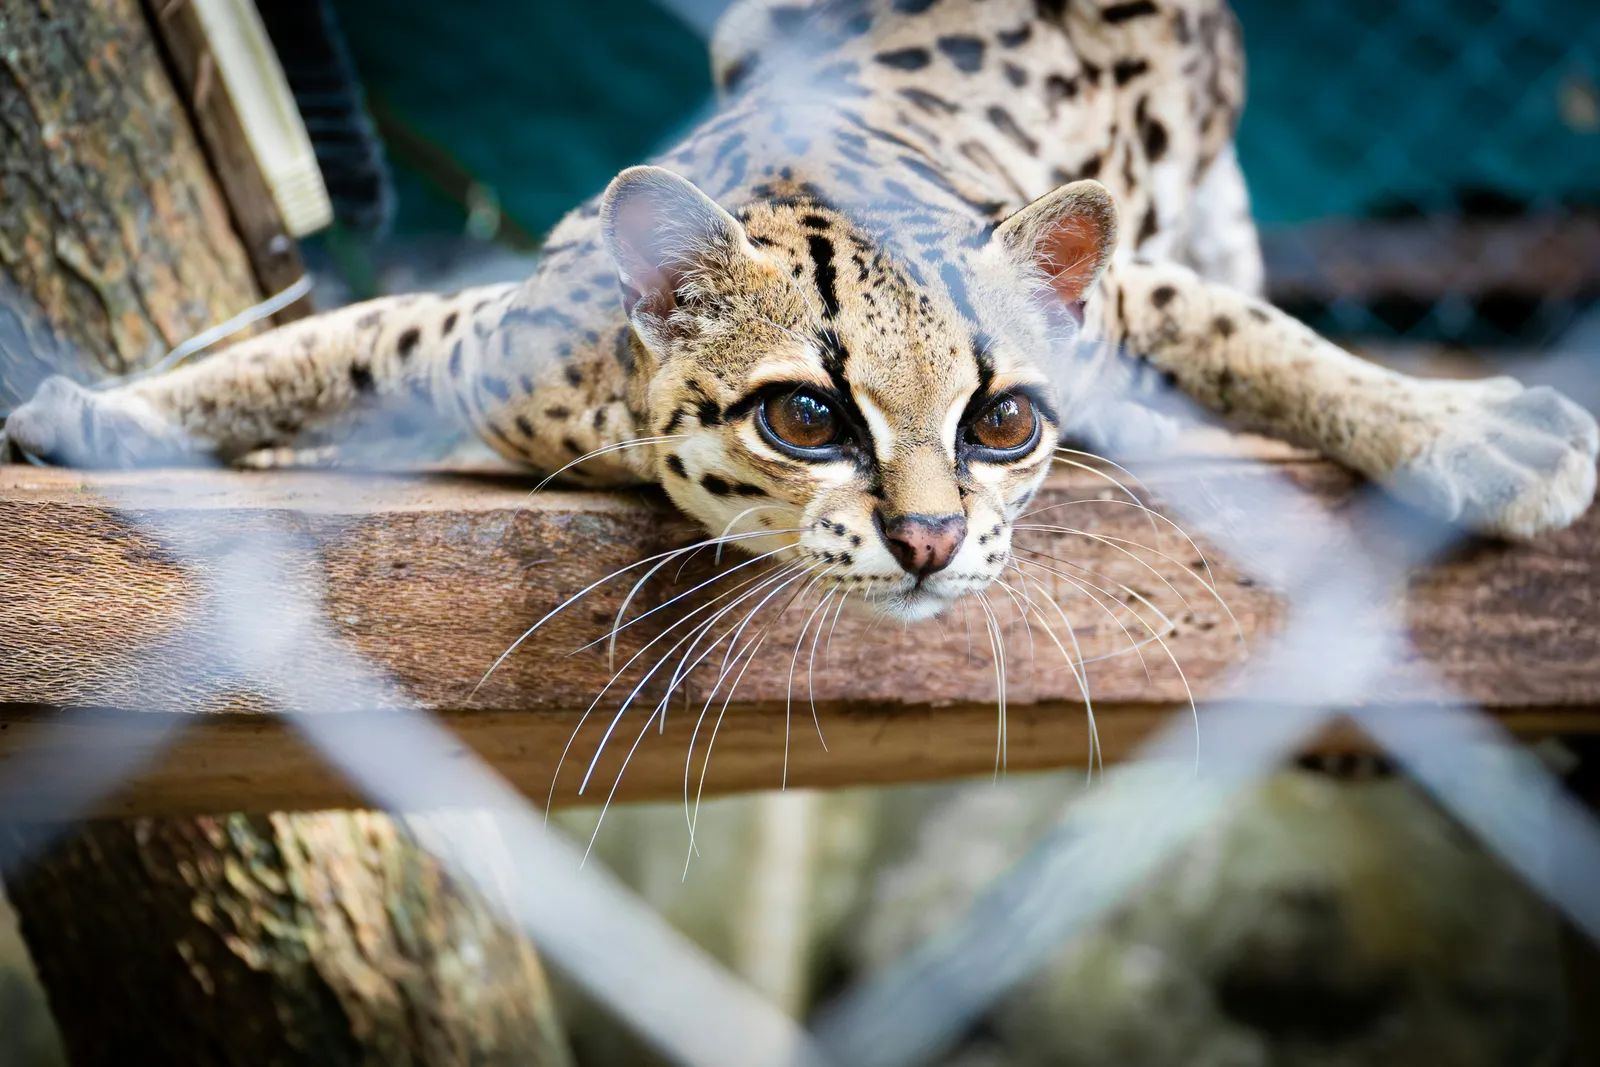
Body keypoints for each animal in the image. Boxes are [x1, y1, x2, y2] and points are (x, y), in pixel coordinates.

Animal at [6, 0, 1596, 625]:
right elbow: (314, 347)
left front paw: (1468, 425)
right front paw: (109, 413)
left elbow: (1254, 338)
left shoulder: (1128, 292)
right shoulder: (477, 340)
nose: (933, 539)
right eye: (805, 417)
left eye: (1004, 422)